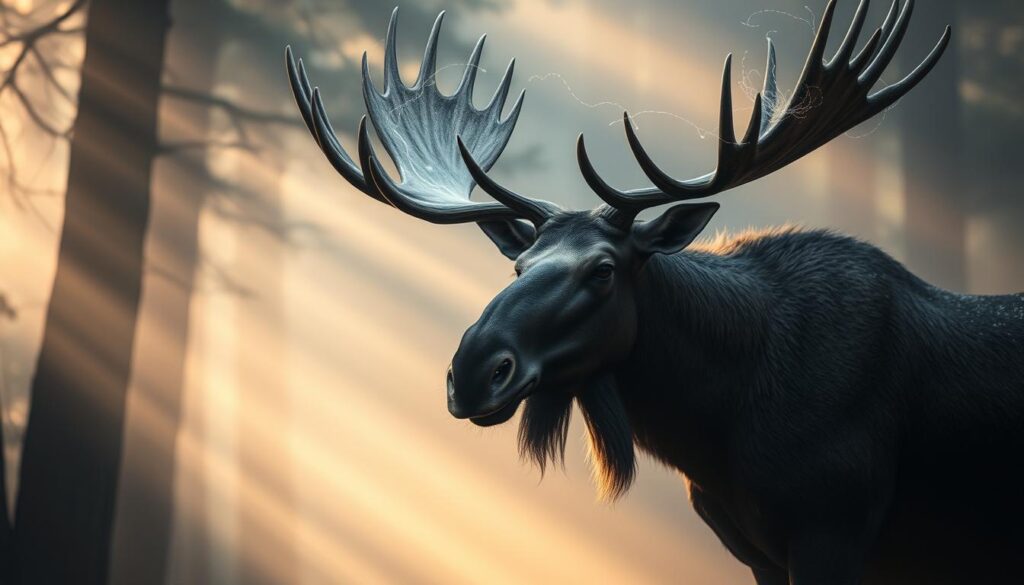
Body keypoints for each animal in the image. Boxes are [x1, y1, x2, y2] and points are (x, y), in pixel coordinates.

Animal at [286, 1, 1024, 583]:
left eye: (602, 270)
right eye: (517, 266)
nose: (470, 372)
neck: (722, 429)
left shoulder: (834, 524)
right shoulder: (754, 548)